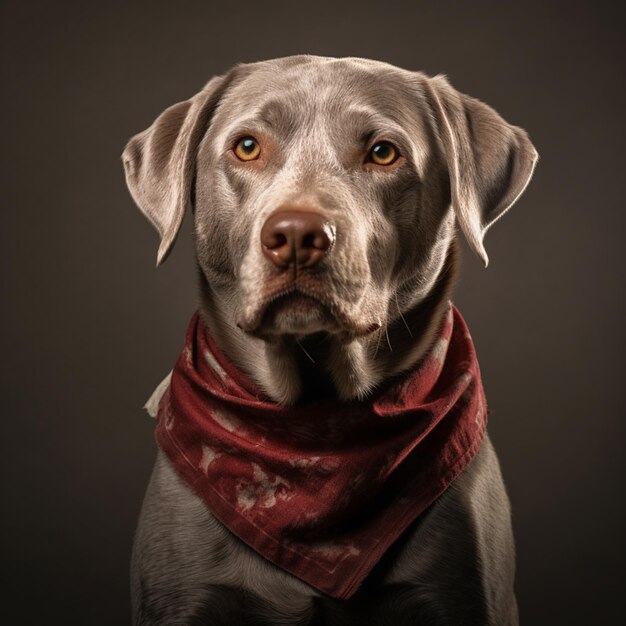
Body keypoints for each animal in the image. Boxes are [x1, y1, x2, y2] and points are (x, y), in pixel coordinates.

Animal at [122, 54, 536, 624]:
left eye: (383, 152)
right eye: (246, 146)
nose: (297, 235)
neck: (314, 426)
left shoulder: (468, 595)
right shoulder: (180, 599)